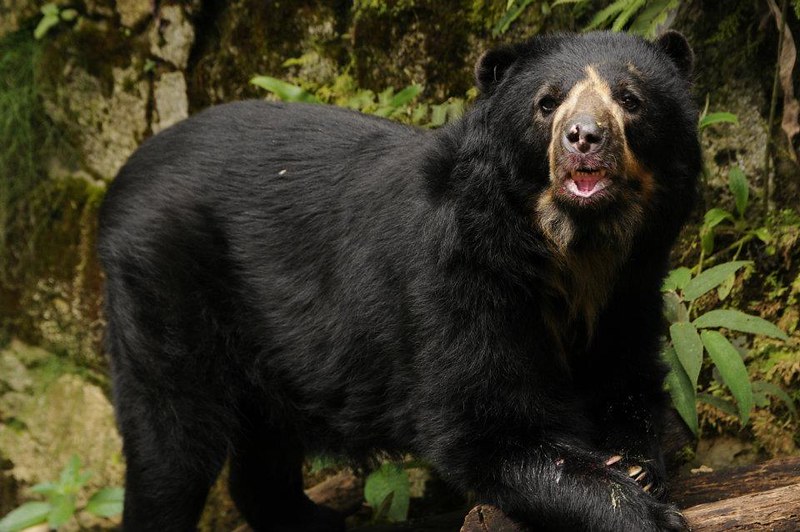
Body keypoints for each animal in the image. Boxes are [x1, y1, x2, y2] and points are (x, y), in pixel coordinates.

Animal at [98, 30, 700, 532]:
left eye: (630, 100)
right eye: (547, 103)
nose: (584, 138)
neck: (571, 250)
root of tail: (121, 180)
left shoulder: (631, 289)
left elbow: (629, 381)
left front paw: (637, 465)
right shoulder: (456, 284)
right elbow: (486, 427)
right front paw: (643, 511)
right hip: (165, 287)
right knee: (171, 444)